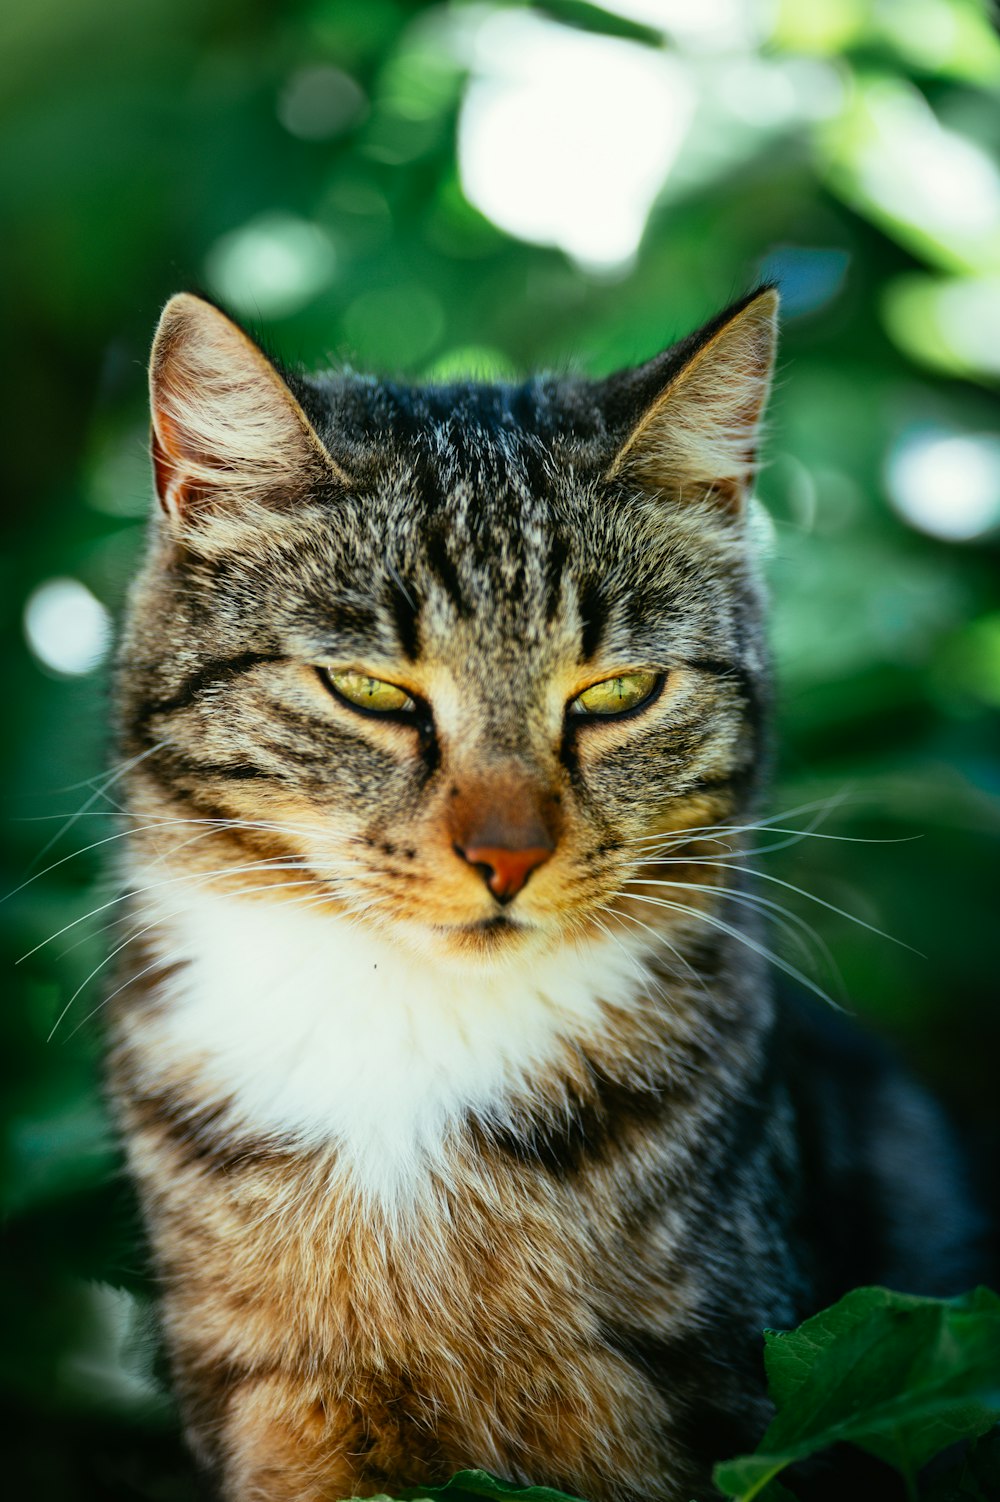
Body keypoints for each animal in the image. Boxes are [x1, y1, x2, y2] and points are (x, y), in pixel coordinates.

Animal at [107, 289, 978, 1502]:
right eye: (370, 690)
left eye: (617, 693)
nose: (506, 856)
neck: (409, 1039)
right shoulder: (277, 1409)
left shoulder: (703, 1401)